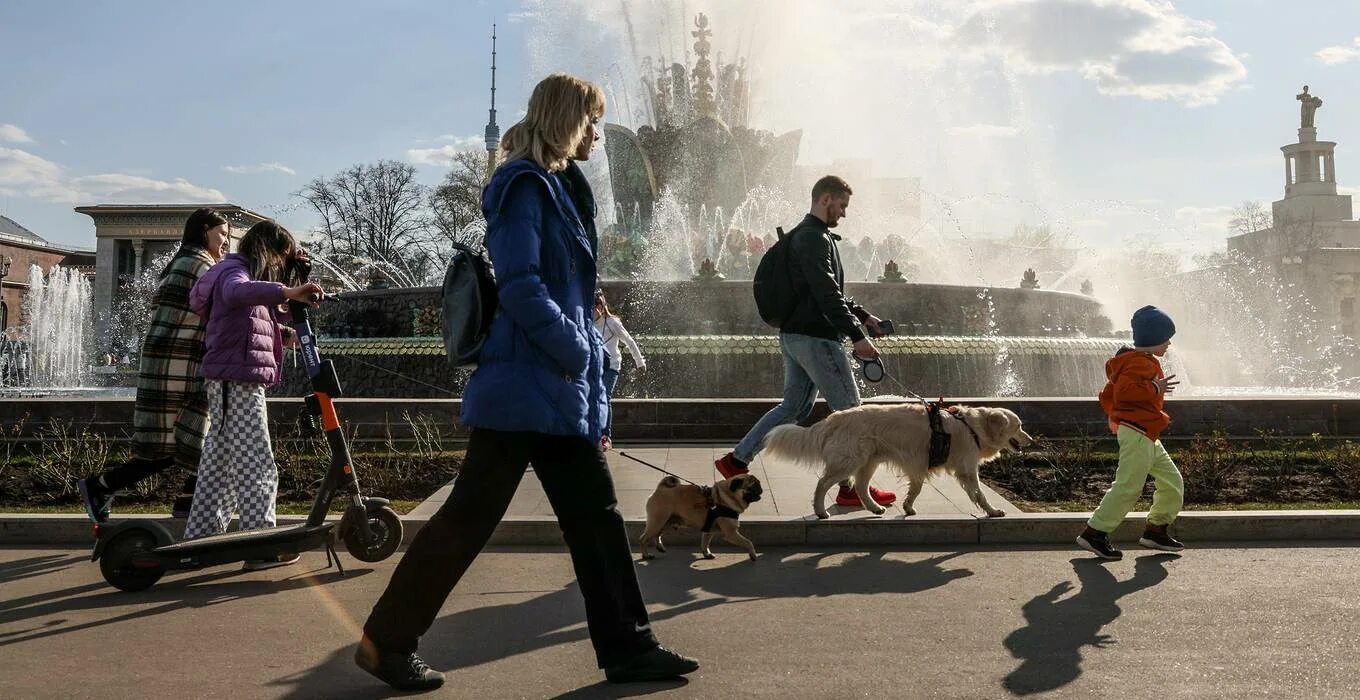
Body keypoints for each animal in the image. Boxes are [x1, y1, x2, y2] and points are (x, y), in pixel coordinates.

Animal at [767, 405, 1028, 519]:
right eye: (1019, 426)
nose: (1031, 439)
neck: (972, 426)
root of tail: (834, 417)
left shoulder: (919, 464)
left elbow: (916, 487)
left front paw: (908, 507)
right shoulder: (966, 468)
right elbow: (979, 494)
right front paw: (993, 511)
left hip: (868, 461)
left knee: (860, 486)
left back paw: (875, 507)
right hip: (849, 459)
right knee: (822, 484)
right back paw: (820, 511)